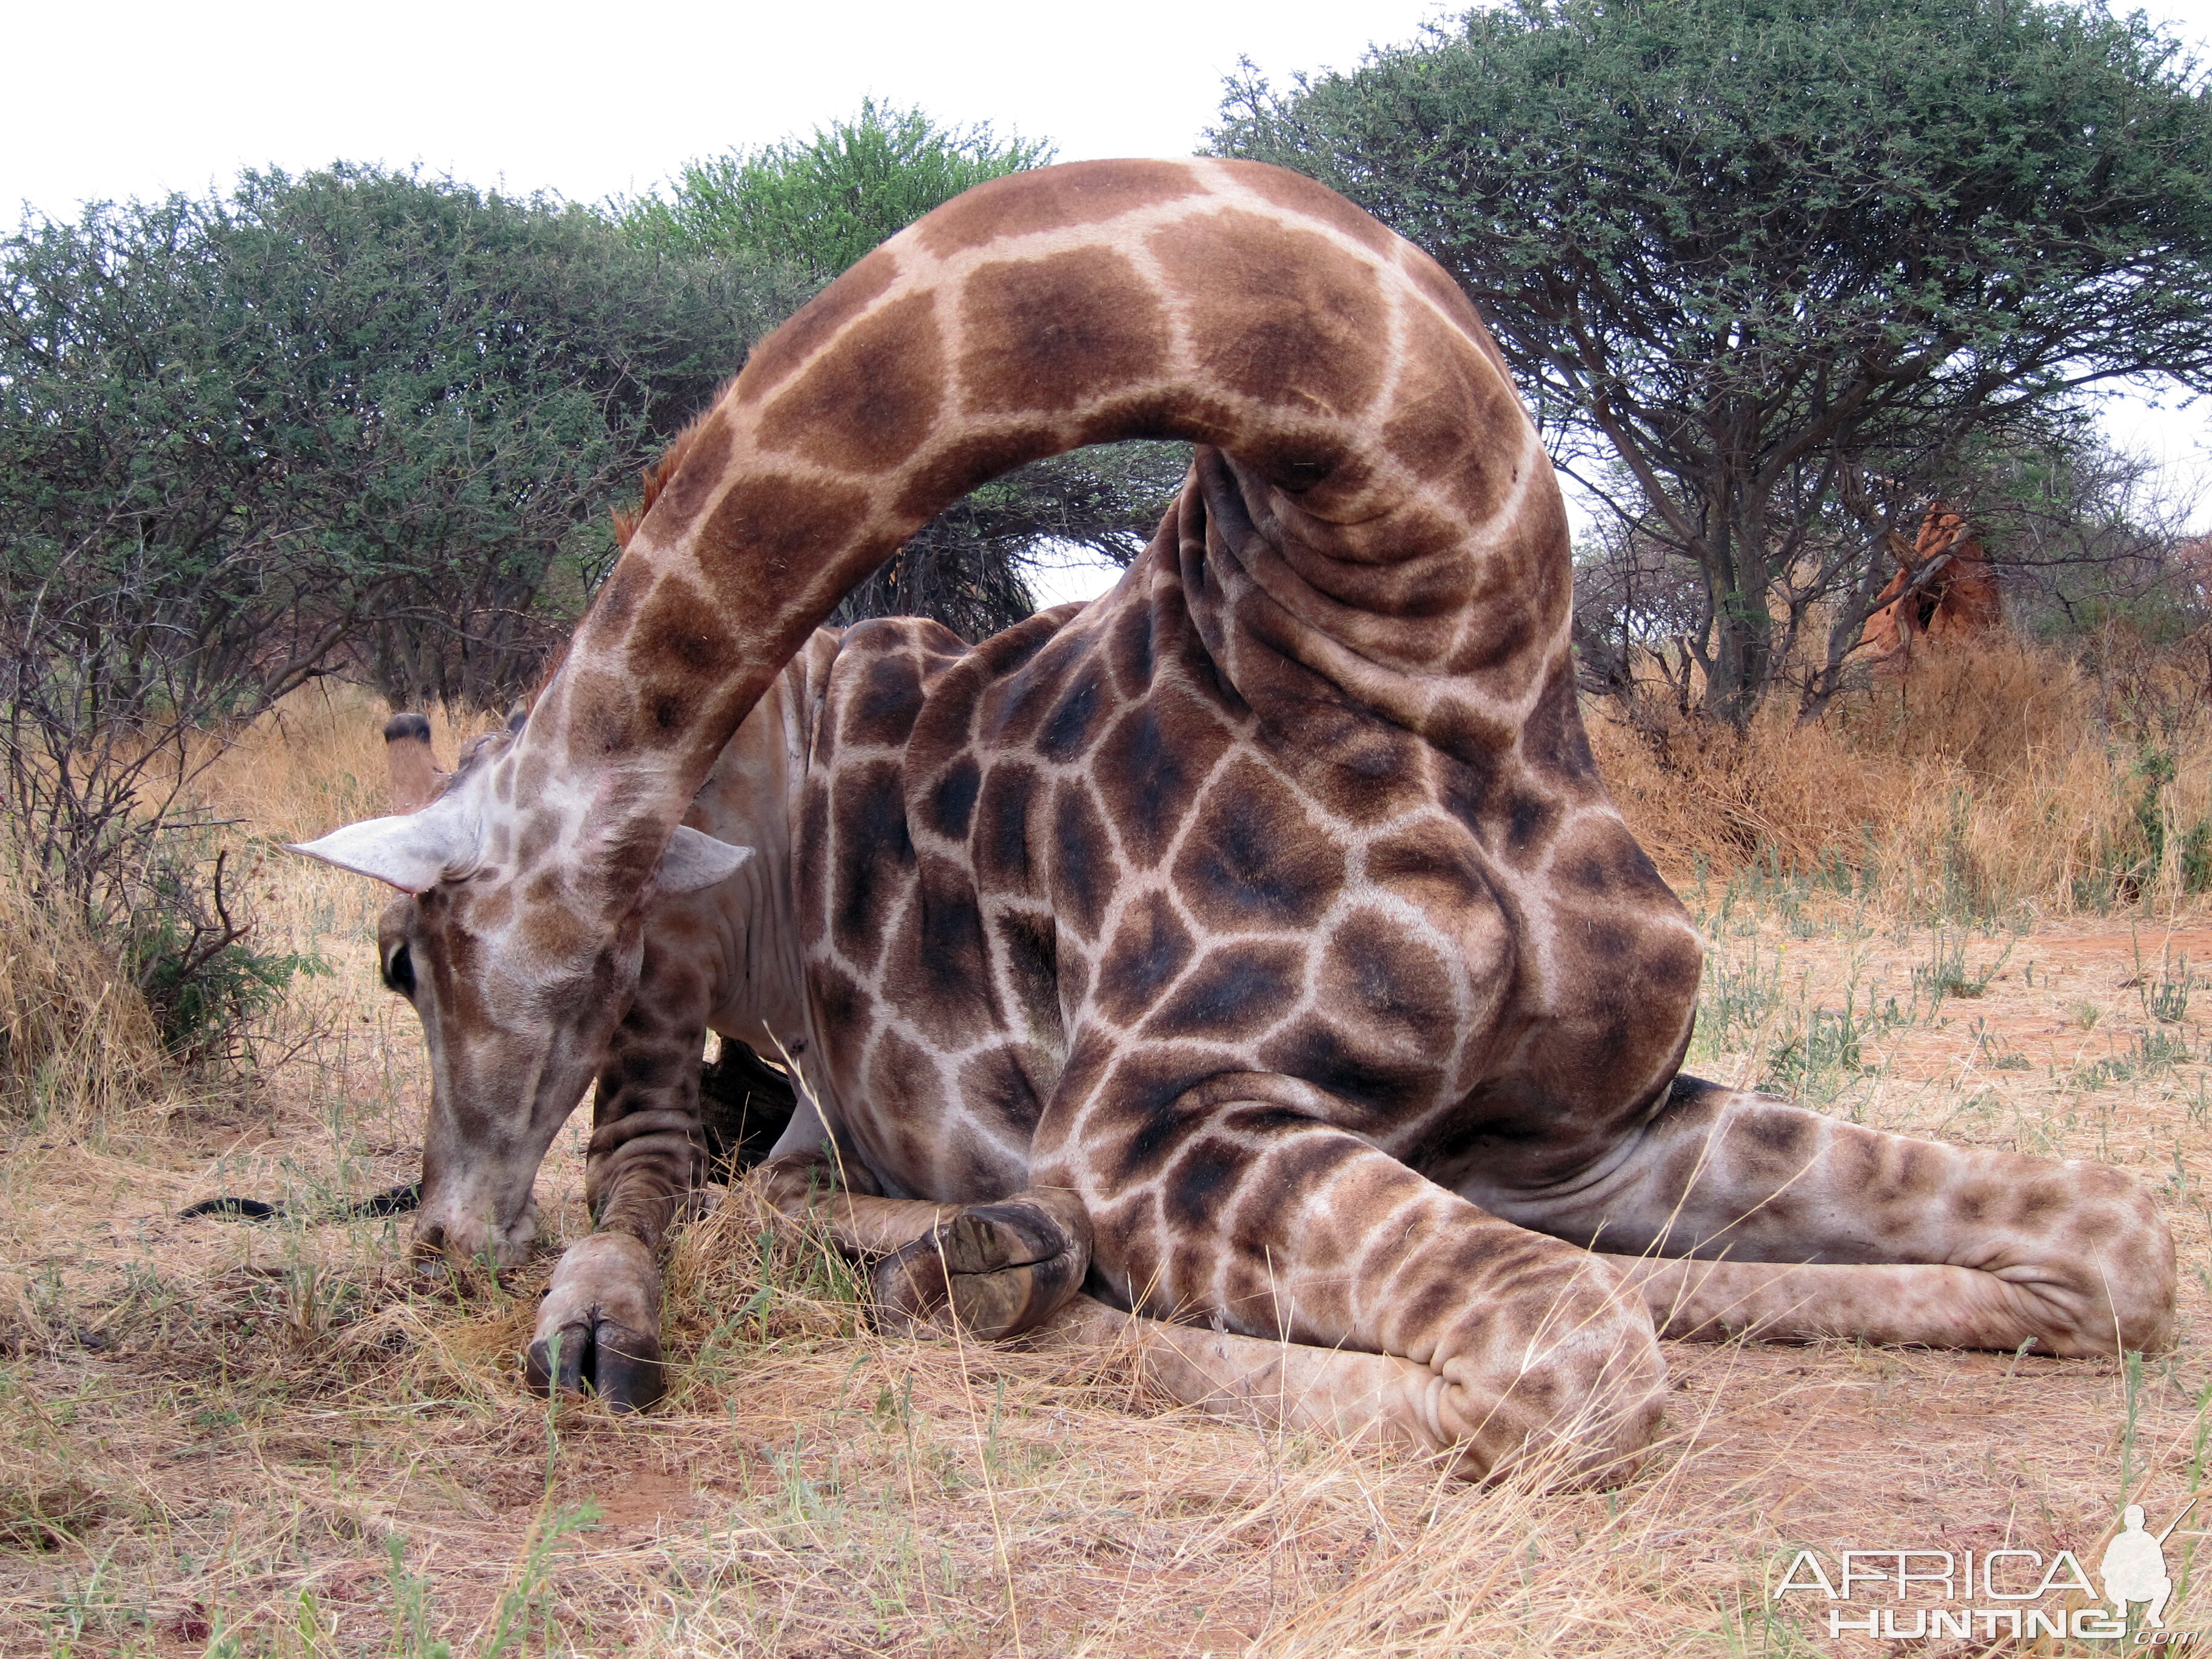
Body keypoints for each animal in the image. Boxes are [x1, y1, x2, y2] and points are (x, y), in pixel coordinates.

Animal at [285, 163, 2168, 1486]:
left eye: (400, 962)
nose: (443, 1241)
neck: (1444, 628)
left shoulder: (1577, 1128)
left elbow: (2116, 1239)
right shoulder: (1147, 1122)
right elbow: (1577, 1365)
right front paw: (1006, 1289)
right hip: (697, 918)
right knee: (658, 1159)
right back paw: (693, 1306)